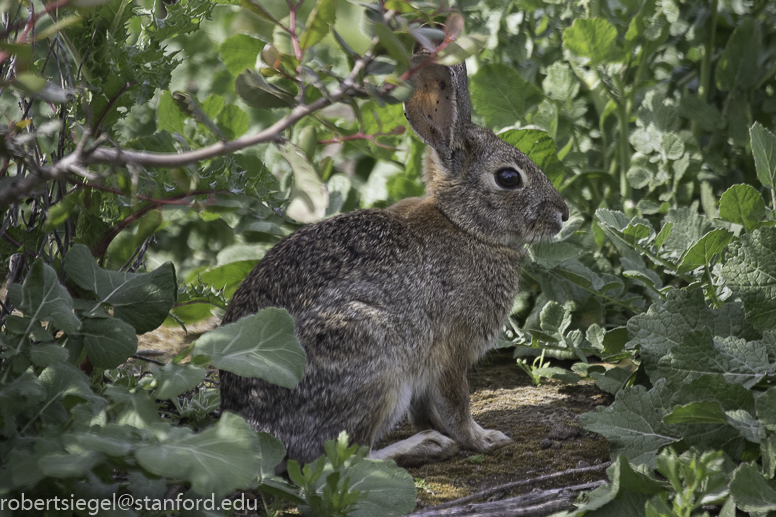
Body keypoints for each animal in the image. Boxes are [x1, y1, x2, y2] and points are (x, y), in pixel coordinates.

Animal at [218, 52, 568, 468]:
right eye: (509, 178)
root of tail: (262, 430)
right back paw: (425, 446)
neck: (464, 226)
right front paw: (483, 439)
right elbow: (456, 405)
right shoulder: (451, 350)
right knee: (345, 457)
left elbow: (428, 410)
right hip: (374, 361)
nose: (563, 213)